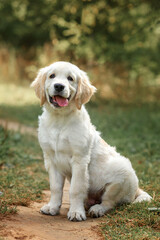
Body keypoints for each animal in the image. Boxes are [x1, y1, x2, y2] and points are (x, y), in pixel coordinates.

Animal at [31, 61, 151, 221]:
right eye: (52, 76)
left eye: (70, 78)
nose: (59, 86)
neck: (59, 119)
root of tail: (136, 190)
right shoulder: (51, 159)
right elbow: (55, 188)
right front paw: (53, 207)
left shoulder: (80, 159)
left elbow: (75, 189)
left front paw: (76, 212)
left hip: (122, 172)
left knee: (109, 202)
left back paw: (97, 209)